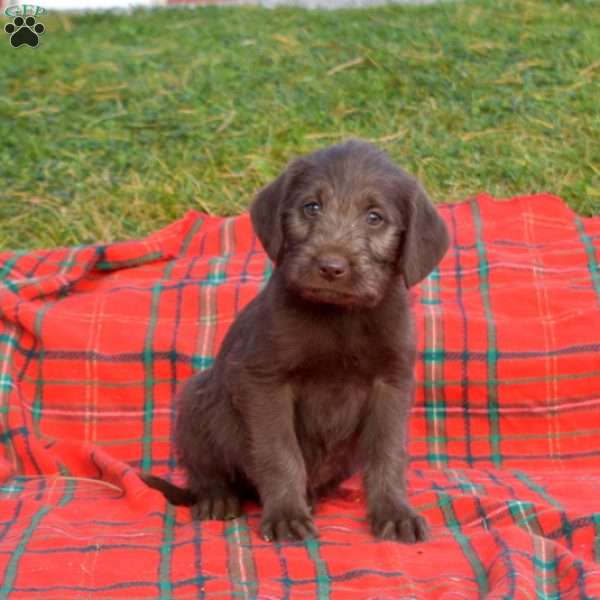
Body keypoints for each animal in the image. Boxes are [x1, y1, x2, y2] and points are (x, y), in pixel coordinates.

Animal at [142, 141, 450, 544]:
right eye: (311, 207)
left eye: (375, 217)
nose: (331, 267)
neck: (340, 317)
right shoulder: (265, 382)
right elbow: (279, 452)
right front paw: (287, 514)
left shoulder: (392, 382)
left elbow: (388, 453)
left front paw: (394, 511)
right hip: (196, 402)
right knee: (204, 472)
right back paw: (217, 499)